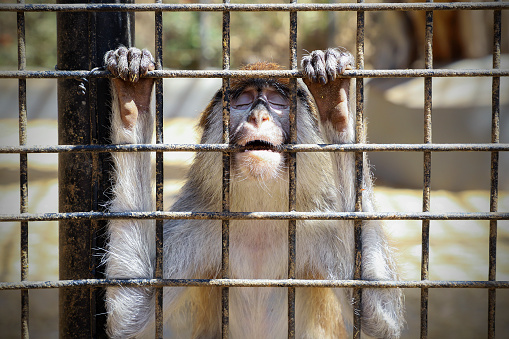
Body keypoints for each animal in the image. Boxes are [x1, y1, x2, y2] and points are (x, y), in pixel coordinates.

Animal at [103, 46, 404, 338]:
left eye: (277, 102)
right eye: (244, 101)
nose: (259, 116)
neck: (259, 209)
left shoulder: (322, 221)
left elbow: (378, 318)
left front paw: (336, 100)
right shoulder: (194, 221)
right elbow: (132, 314)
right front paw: (132, 97)